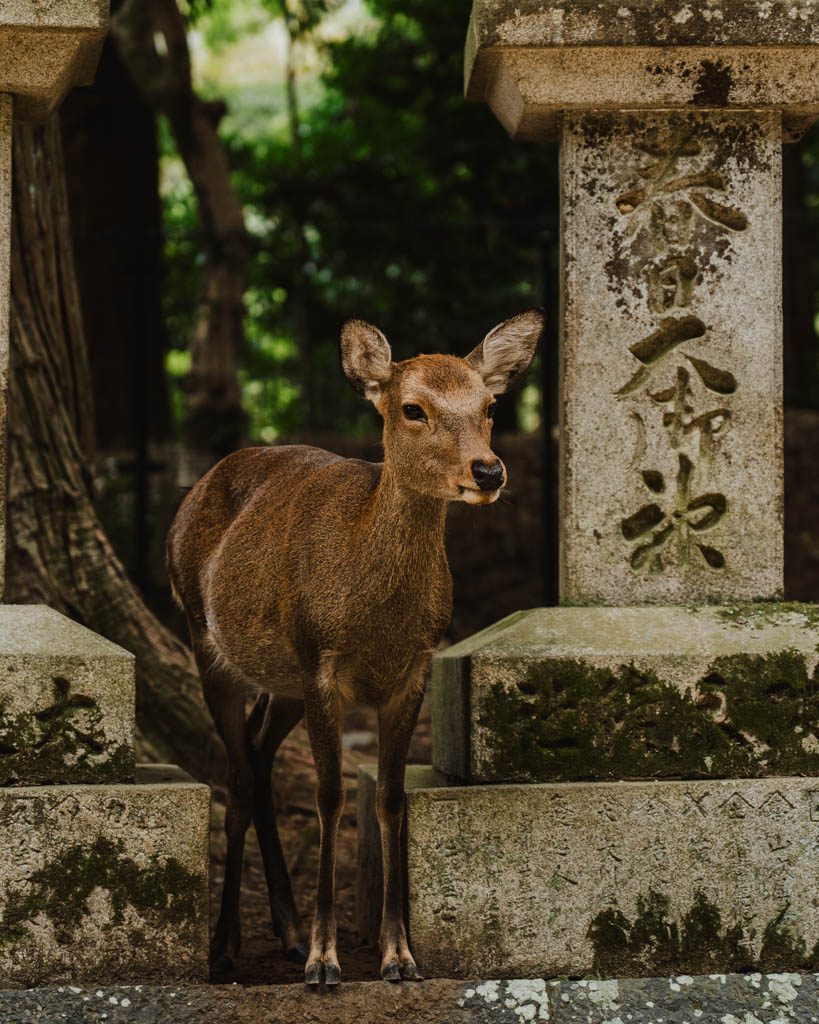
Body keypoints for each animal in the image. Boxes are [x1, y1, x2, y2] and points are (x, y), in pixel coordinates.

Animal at [166, 308, 544, 985]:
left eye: (490, 405)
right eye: (413, 408)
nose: (488, 471)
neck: (376, 623)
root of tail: (193, 491)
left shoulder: (411, 671)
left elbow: (390, 799)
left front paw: (399, 955)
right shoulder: (321, 662)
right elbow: (330, 796)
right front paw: (326, 961)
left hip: (283, 679)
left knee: (257, 760)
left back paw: (287, 932)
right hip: (205, 637)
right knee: (236, 777)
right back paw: (228, 947)